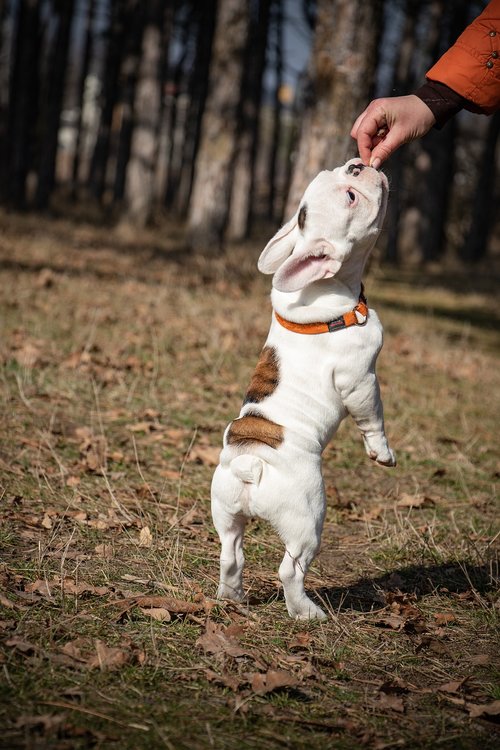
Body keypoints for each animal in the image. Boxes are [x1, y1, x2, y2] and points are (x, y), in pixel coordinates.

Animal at [210, 156, 394, 620]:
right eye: (351, 196)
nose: (359, 162)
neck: (320, 289)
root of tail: (250, 466)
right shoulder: (360, 379)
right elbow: (373, 417)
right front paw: (382, 453)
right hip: (307, 518)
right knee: (290, 568)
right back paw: (307, 613)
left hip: (225, 510)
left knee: (230, 553)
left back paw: (232, 597)